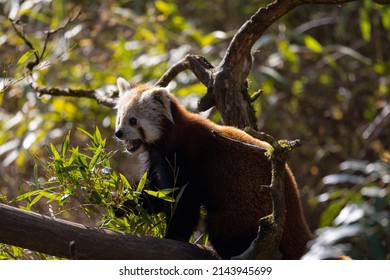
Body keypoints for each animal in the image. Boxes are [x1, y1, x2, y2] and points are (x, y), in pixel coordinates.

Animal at [113, 76, 314, 258]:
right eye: (119, 119)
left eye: (133, 121)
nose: (118, 133)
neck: (167, 139)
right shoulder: (157, 162)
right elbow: (153, 193)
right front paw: (122, 203)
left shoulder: (186, 159)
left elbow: (183, 203)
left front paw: (173, 235)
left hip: (242, 214)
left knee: (222, 230)